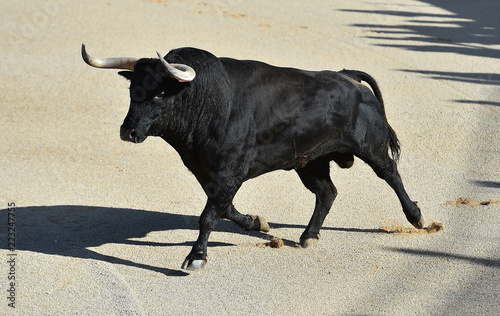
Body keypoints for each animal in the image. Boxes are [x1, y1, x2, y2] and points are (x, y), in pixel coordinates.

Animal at [80, 44, 424, 270]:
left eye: (161, 93)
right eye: (133, 90)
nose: (129, 131)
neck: (208, 101)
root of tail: (346, 75)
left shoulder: (229, 172)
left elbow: (209, 215)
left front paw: (196, 257)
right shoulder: (209, 174)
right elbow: (226, 209)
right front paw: (259, 223)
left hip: (371, 147)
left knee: (390, 174)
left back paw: (417, 217)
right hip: (309, 161)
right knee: (327, 192)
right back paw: (308, 236)